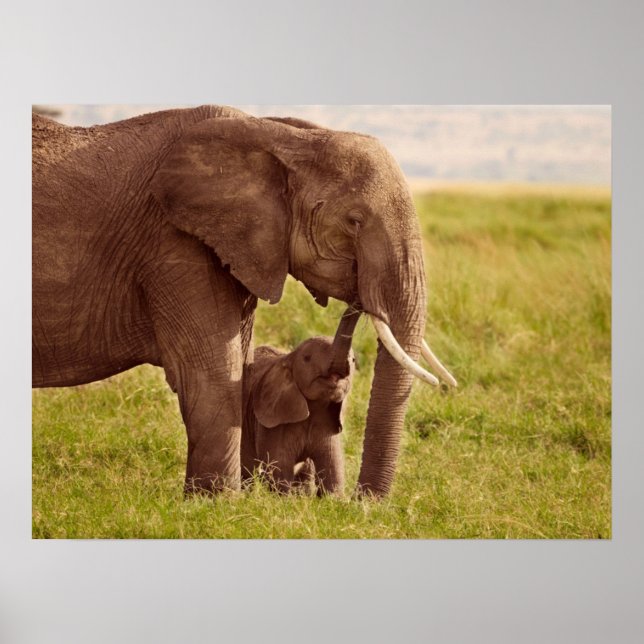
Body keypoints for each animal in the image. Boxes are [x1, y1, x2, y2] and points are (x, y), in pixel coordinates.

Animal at [241, 308, 358, 495]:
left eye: (354, 361)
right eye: (307, 358)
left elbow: (332, 469)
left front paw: (333, 499)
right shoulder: (273, 423)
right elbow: (280, 468)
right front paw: (284, 498)